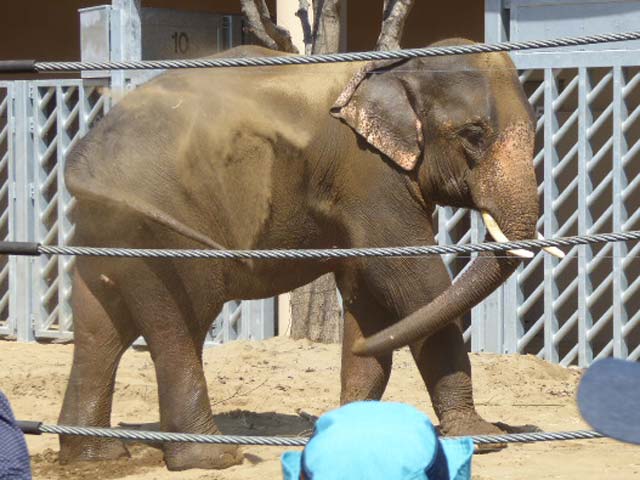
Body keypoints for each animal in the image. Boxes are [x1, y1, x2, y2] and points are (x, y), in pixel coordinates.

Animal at [61, 38, 556, 472]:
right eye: (474, 134)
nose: (314, 425)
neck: (395, 69)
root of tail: (84, 157)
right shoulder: (370, 174)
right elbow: (416, 285)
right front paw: (484, 437)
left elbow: (369, 295)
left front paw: (354, 431)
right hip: (162, 227)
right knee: (182, 325)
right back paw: (211, 458)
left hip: (108, 231)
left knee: (100, 330)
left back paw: (97, 457)